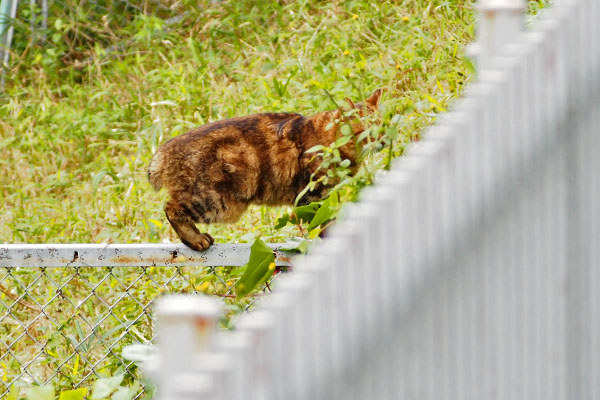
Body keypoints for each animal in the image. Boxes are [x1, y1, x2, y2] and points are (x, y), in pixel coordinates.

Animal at [150, 88, 382, 250]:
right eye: (366, 132)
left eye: (382, 125)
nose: (383, 141)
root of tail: (165, 150)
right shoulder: (312, 195)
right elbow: (323, 224)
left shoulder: (330, 195)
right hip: (216, 202)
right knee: (170, 207)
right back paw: (196, 239)